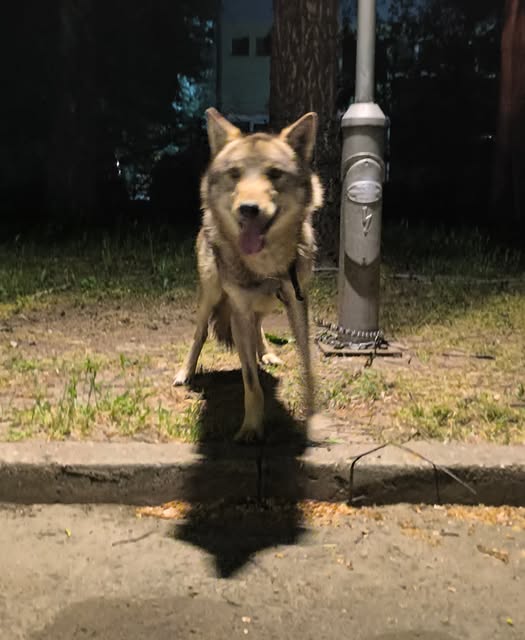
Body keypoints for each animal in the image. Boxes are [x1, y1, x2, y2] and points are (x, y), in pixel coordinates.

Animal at [174, 108, 323, 442]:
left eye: (275, 174)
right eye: (234, 174)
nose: (248, 209)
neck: (267, 266)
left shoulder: (299, 303)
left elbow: (308, 364)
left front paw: (313, 415)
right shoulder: (239, 310)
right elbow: (250, 383)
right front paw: (252, 428)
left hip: (269, 304)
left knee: (259, 327)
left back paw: (266, 354)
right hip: (211, 295)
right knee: (200, 334)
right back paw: (185, 373)